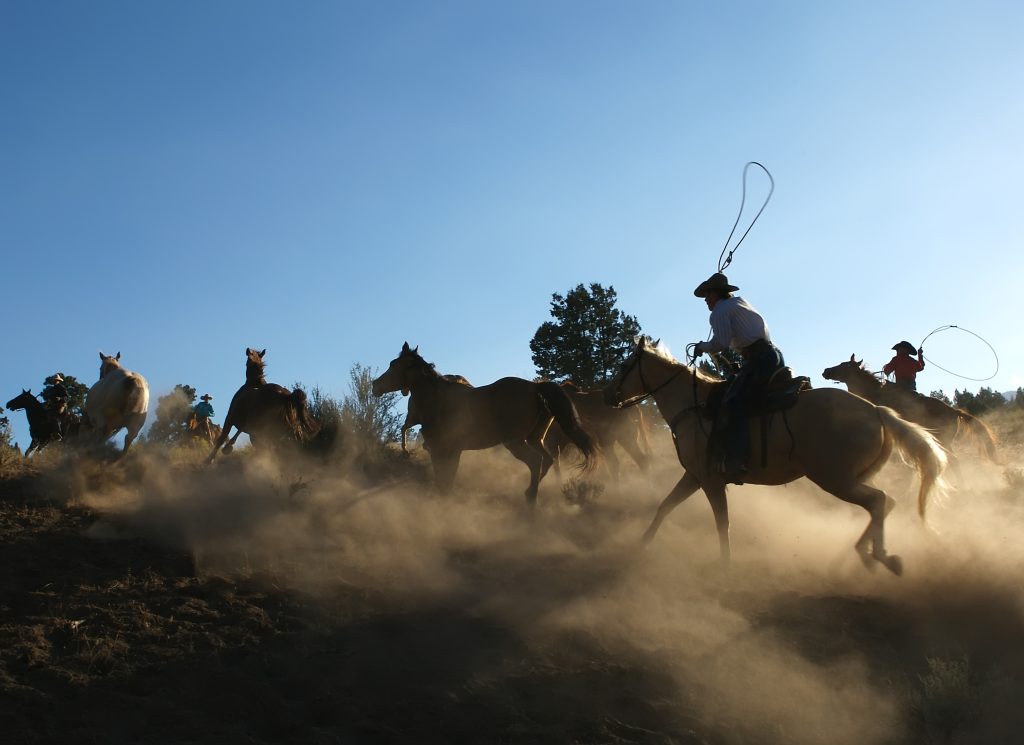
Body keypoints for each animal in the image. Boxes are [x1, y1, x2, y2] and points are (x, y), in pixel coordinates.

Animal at [370, 339, 598, 503]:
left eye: (394, 365)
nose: (375, 385)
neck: (436, 398)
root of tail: (537, 388)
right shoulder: (453, 451)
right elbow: (448, 481)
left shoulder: (440, 449)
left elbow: (443, 481)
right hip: (534, 438)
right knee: (547, 461)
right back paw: (529, 495)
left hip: (515, 442)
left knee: (536, 462)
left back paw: (530, 499)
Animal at [602, 337, 946, 577]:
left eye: (623, 367)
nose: (608, 396)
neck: (693, 406)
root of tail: (876, 411)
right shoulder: (694, 476)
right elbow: (665, 506)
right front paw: (642, 544)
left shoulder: (711, 481)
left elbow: (722, 522)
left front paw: (725, 564)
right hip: (853, 478)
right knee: (882, 504)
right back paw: (866, 554)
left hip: (834, 478)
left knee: (879, 501)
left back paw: (879, 556)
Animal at [823, 356, 999, 466]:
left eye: (845, 365)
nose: (826, 370)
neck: (873, 394)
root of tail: (954, 411)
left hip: (943, 439)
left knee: (954, 460)